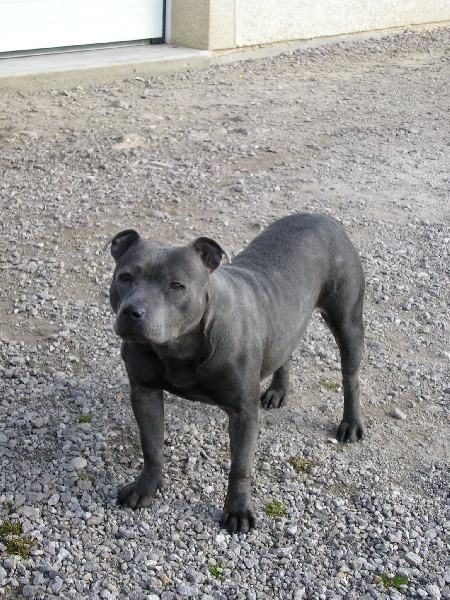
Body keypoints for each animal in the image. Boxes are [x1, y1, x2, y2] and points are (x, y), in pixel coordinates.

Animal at [107, 213, 364, 532]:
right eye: (125, 277)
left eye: (176, 286)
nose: (133, 311)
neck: (180, 348)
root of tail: (320, 217)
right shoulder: (145, 393)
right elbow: (151, 447)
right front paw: (145, 488)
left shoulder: (243, 413)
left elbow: (240, 466)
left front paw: (238, 510)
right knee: (285, 351)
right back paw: (278, 390)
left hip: (347, 322)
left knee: (350, 377)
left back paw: (351, 423)